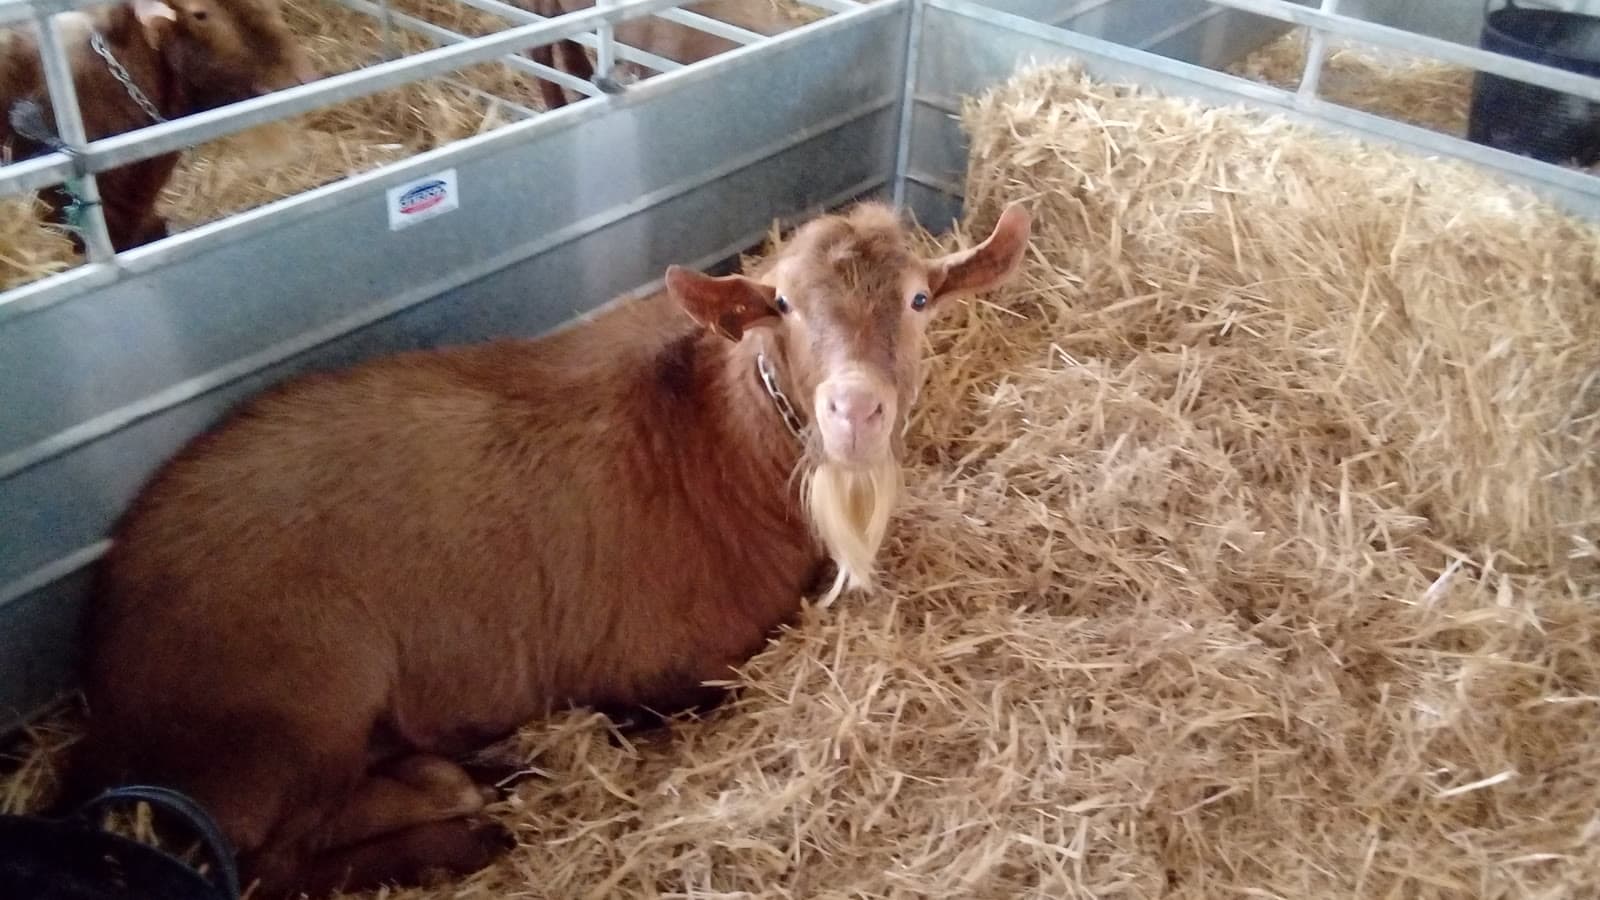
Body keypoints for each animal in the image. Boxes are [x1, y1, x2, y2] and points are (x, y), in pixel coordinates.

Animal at [61, 200, 1033, 897]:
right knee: (271, 860)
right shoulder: (670, 675)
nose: (855, 409)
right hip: (299, 698)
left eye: (917, 300)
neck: (715, 438)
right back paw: (465, 814)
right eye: (781, 306)